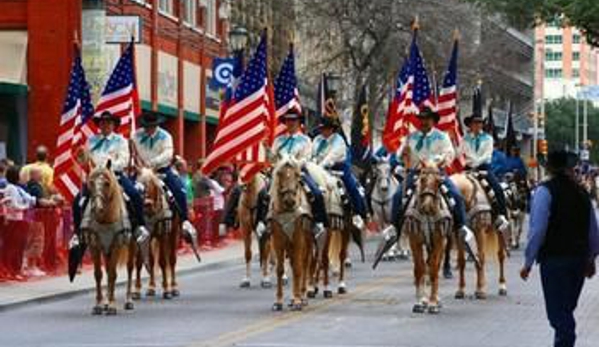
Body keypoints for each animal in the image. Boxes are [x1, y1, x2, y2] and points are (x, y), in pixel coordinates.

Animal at [81, 165, 134, 316]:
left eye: (106, 183)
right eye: (91, 182)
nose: (97, 208)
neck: (105, 219)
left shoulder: (116, 244)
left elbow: (113, 275)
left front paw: (111, 305)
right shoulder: (95, 245)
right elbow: (99, 274)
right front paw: (99, 304)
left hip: (131, 244)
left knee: (129, 268)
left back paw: (128, 300)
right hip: (106, 248)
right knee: (108, 269)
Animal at [130, 168, 179, 300]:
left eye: (152, 184)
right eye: (138, 187)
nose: (147, 204)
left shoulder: (162, 235)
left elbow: (162, 262)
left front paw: (166, 290)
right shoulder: (142, 236)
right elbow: (139, 262)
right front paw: (136, 290)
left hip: (173, 233)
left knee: (171, 259)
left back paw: (174, 288)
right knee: (152, 261)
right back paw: (151, 288)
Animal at [268, 158, 312, 312]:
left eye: (298, 175)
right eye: (279, 173)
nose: (289, 200)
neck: (286, 211)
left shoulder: (298, 239)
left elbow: (299, 269)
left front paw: (298, 300)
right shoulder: (278, 241)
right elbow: (280, 270)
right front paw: (278, 301)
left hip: (306, 243)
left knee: (304, 264)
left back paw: (302, 296)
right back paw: (293, 298)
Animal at [406, 164, 452, 314]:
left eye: (439, 182)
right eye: (422, 179)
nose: (427, 205)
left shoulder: (439, 241)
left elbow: (433, 269)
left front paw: (432, 303)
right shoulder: (414, 240)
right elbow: (420, 268)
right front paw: (420, 301)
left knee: (435, 266)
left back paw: (436, 300)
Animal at [452, 170, 508, 300]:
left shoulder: (479, 230)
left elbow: (481, 257)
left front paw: (481, 290)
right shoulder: (459, 234)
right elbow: (461, 260)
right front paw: (460, 290)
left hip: (498, 231)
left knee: (500, 256)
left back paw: (502, 286)